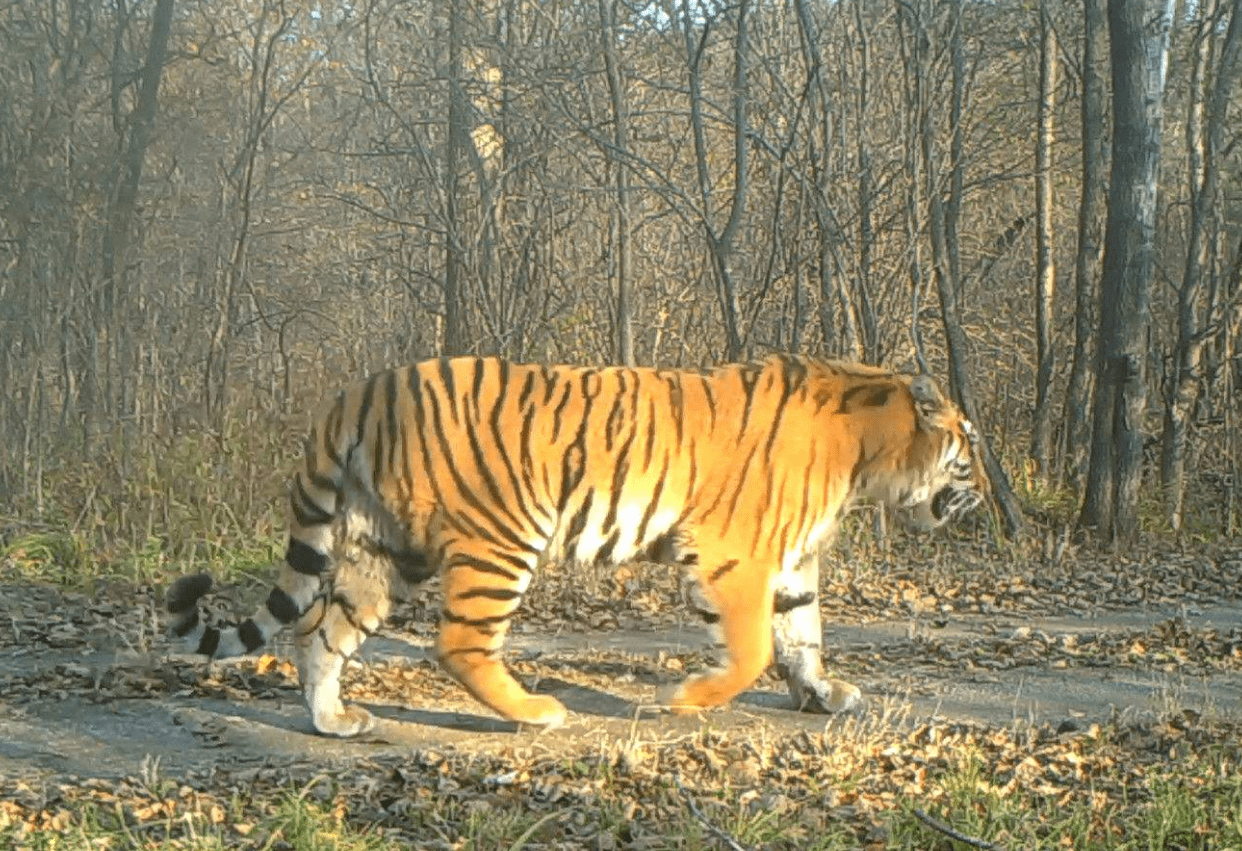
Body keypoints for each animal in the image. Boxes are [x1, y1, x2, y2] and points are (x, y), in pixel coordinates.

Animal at [165, 355, 983, 735]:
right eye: (969, 449)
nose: (982, 497)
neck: (867, 452)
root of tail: (359, 391)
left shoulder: (790, 559)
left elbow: (803, 632)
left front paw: (821, 694)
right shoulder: (734, 553)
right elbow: (751, 649)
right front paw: (680, 700)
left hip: (384, 551)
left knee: (319, 634)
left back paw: (334, 721)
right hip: (501, 537)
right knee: (458, 644)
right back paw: (535, 711)